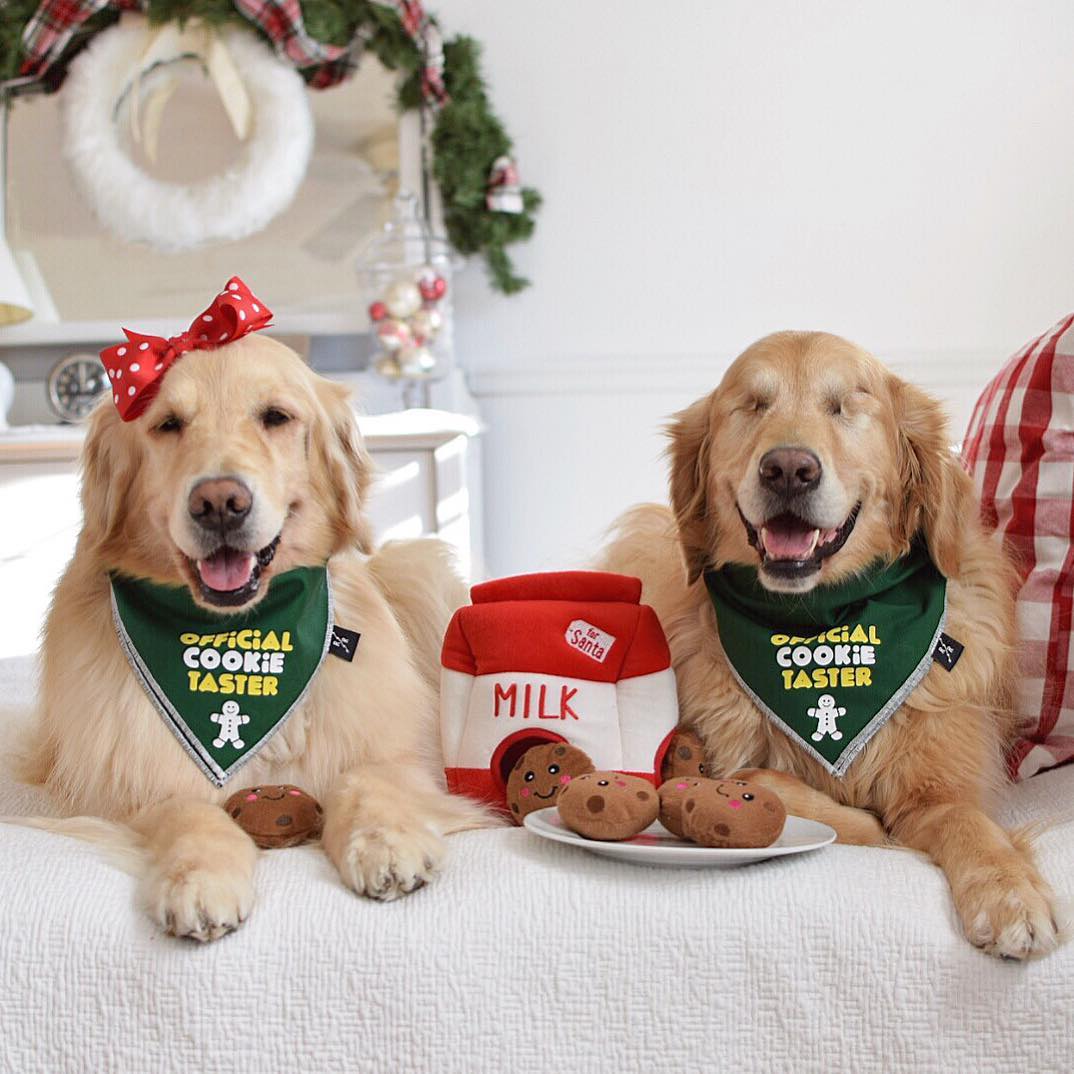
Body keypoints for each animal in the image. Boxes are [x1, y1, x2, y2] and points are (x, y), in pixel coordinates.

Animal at [14, 277, 479, 940]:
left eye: (276, 417)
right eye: (167, 424)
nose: (219, 503)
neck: (245, 639)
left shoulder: (404, 749)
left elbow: (368, 777)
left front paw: (388, 841)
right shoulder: (121, 786)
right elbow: (186, 810)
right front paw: (200, 878)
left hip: (419, 568)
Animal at [605, 330, 1065, 962]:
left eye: (846, 405)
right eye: (753, 405)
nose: (788, 470)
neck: (819, 626)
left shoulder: (942, 787)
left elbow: (970, 826)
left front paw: (1010, 894)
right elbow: (759, 778)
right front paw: (864, 826)